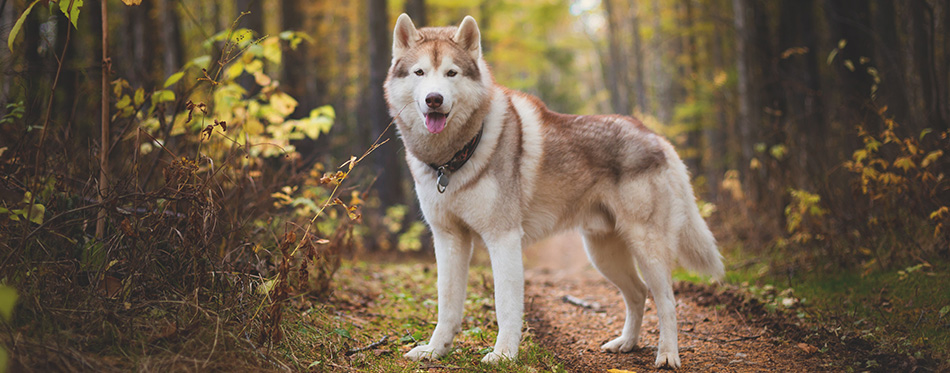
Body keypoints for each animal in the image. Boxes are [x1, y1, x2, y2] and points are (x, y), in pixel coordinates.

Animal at [384, 13, 724, 368]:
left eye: (451, 73)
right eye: (420, 72)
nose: (434, 99)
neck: (453, 159)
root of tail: (656, 136)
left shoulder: (503, 239)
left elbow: (506, 306)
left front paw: (503, 355)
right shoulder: (448, 239)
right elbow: (447, 304)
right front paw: (435, 350)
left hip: (647, 246)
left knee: (667, 300)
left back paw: (668, 355)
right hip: (603, 254)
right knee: (638, 293)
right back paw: (626, 343)